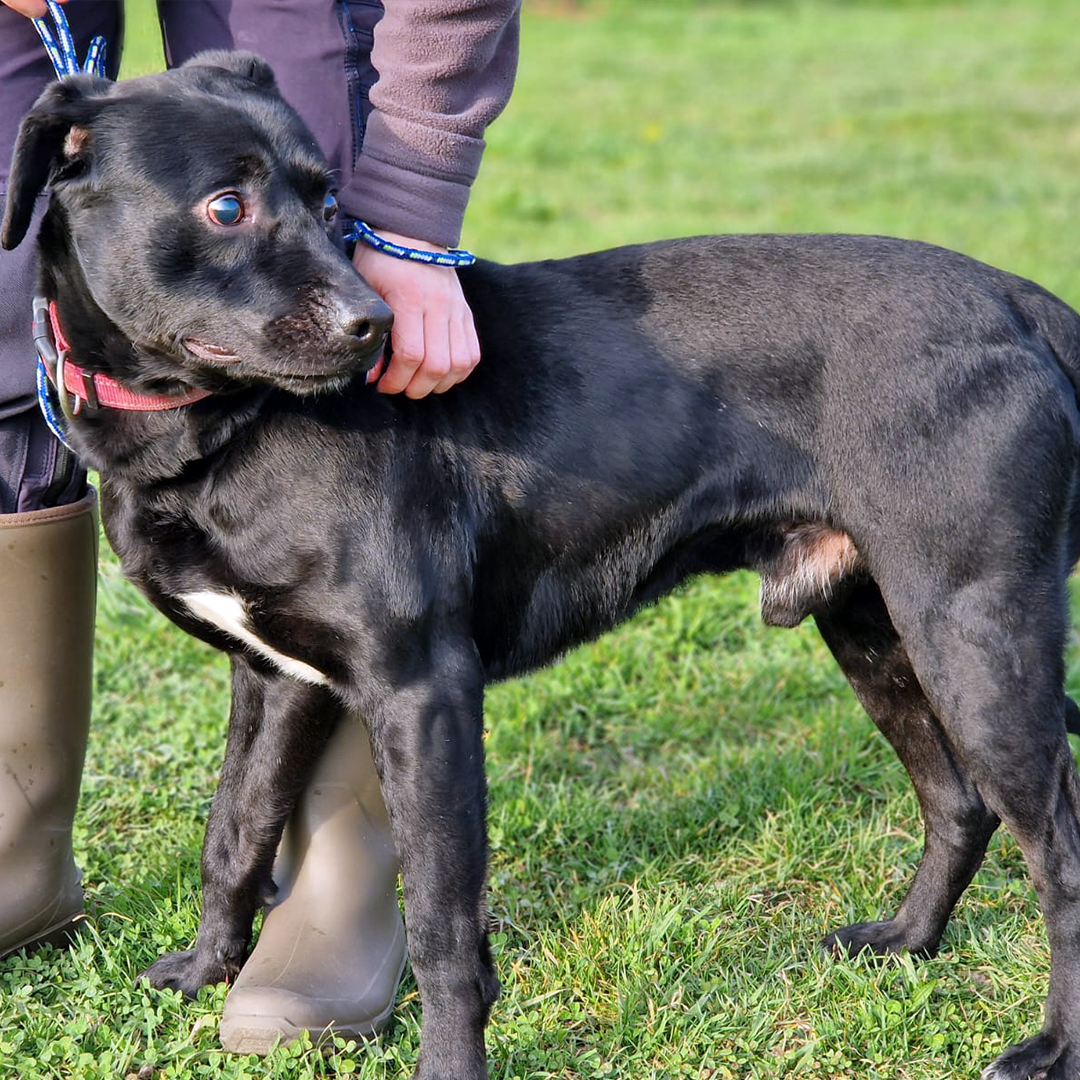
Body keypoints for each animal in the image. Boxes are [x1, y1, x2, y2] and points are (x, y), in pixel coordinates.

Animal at [6, 54, 1080, 1080]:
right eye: (226, 207)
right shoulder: (275, 680)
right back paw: (907, 941)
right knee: (958, 803)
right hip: (875, 627)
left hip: (976, 636)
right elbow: (234, 832)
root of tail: (1018, 299)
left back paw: (1049, 1050)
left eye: (331, 205)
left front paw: (449, 1066)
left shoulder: (422, 690)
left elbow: (443, 926)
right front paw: (202, 974)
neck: (220, 438)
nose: (374, 326)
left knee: (1058, 855)